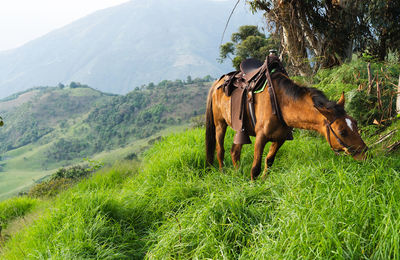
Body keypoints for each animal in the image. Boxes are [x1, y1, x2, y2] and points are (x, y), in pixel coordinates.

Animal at [206, 71, 368, 181]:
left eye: (355, 123)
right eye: (342, 131)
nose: (365, 154)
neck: (279, 103)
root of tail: (217, 83)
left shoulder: (280, 138)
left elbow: (269, 161)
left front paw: (263, 181)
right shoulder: (260, 137)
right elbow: (255, 167)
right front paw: (253, 185)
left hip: (241, 131)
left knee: (235, 152)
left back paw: (237, 173)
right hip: (220, 124)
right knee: (220, 150)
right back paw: (223, 173)